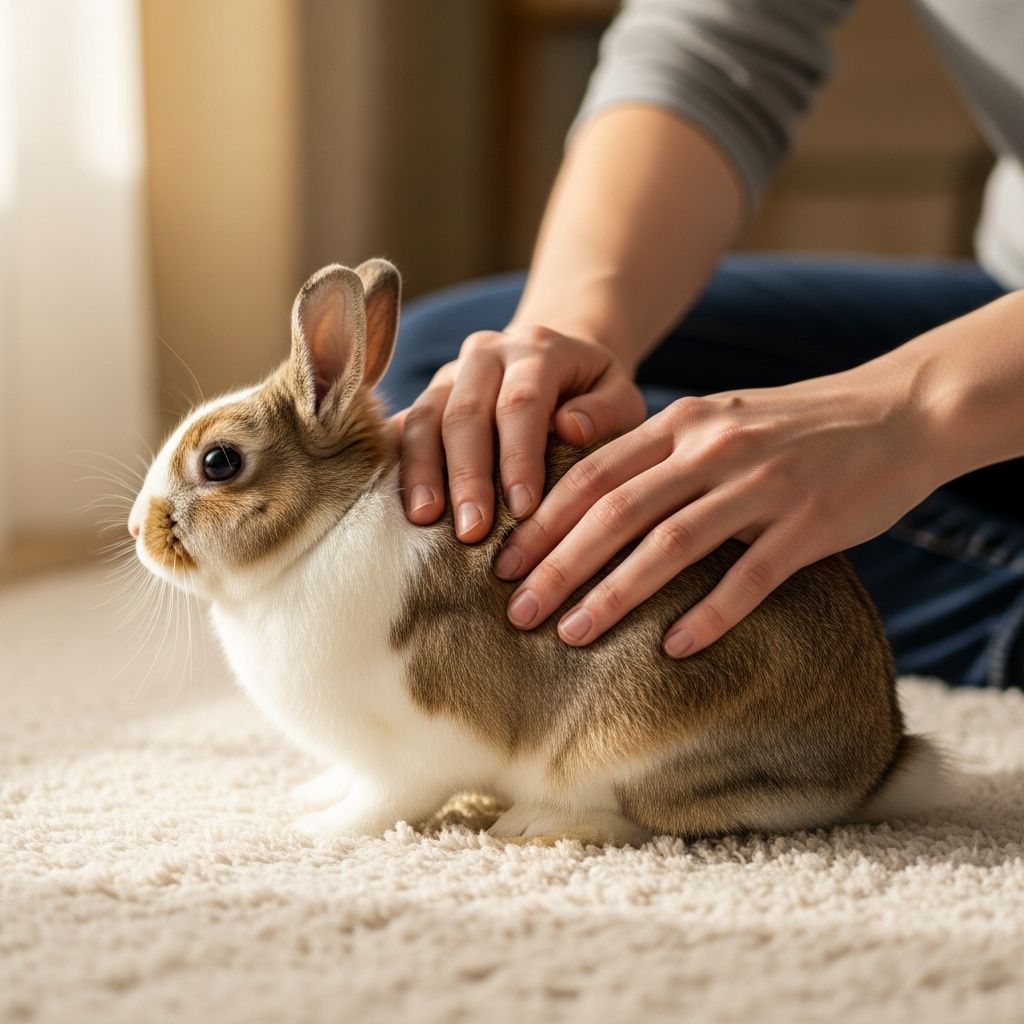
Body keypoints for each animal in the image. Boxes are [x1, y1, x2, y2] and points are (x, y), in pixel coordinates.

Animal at [129, 259, 944, 845]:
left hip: (632, 737)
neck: (323, 530)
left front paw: (313, 829)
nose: (138, 529)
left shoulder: (415, 743)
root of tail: (877, 763)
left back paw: (531, 826)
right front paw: (309, 794)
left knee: (636, 817)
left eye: (220, 463)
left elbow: (386, 802)